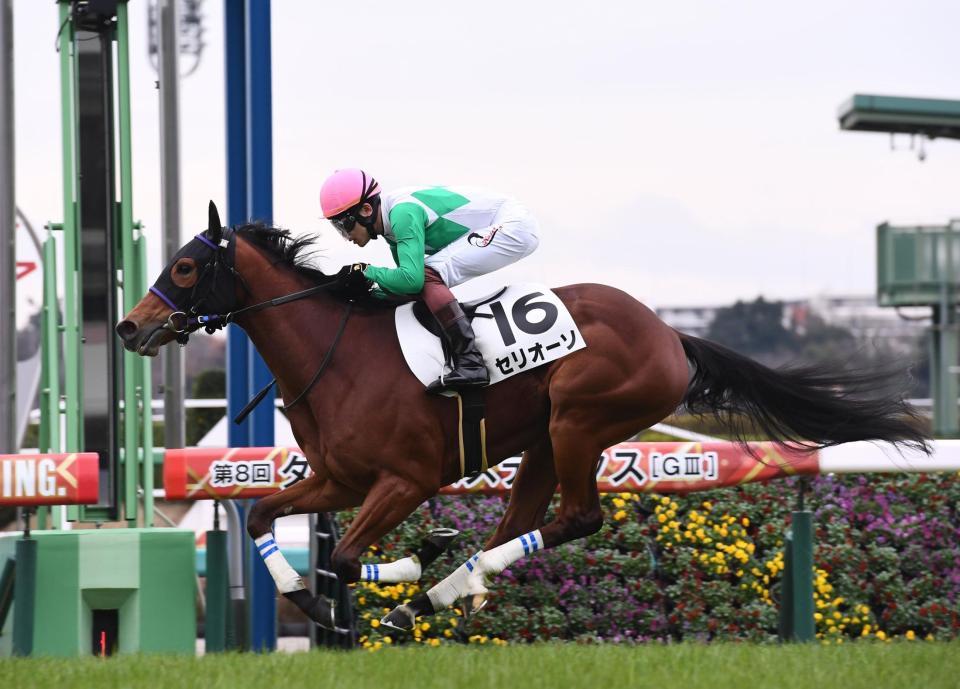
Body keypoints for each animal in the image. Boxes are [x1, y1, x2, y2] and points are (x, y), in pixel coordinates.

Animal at [116, 202, 929, 632]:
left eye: (185, 266)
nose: (129, 327)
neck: (337, 354)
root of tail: (671, 333)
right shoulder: (338, 479)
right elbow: (262, 518)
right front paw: (314, 602)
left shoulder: (405, 478)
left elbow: (346, 554)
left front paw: (406, 564)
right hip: (544, 438)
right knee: (525, 520)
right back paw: (451, 585)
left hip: (580, 419)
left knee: (577, 517)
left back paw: (445, 583)